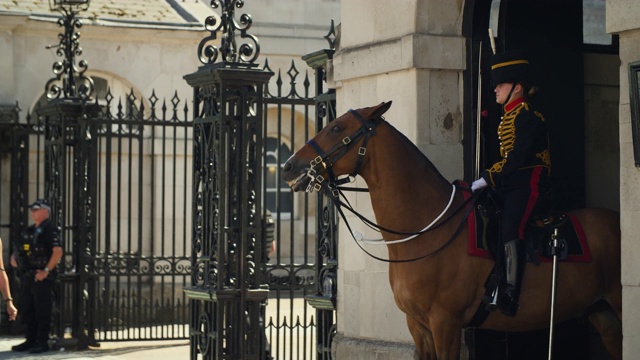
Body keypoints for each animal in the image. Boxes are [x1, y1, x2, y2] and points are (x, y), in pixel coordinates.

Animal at [280, 101, 620, 360]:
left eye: (337, 128)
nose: (288, 166)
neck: (423, 229)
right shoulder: (418, 326)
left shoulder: (446, 323)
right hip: (603, 314)